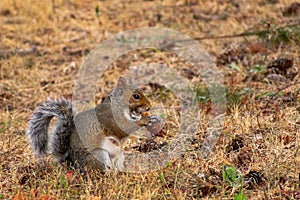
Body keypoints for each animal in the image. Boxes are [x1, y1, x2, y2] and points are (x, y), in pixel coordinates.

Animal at [25, 76, 157, 172]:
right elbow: (123, 128)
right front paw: (144, 120)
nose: (149, 107)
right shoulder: (110, 118)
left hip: (119, 156)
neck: (118, 105)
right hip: (100, 155)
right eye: (136, 96)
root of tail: (73, 164)